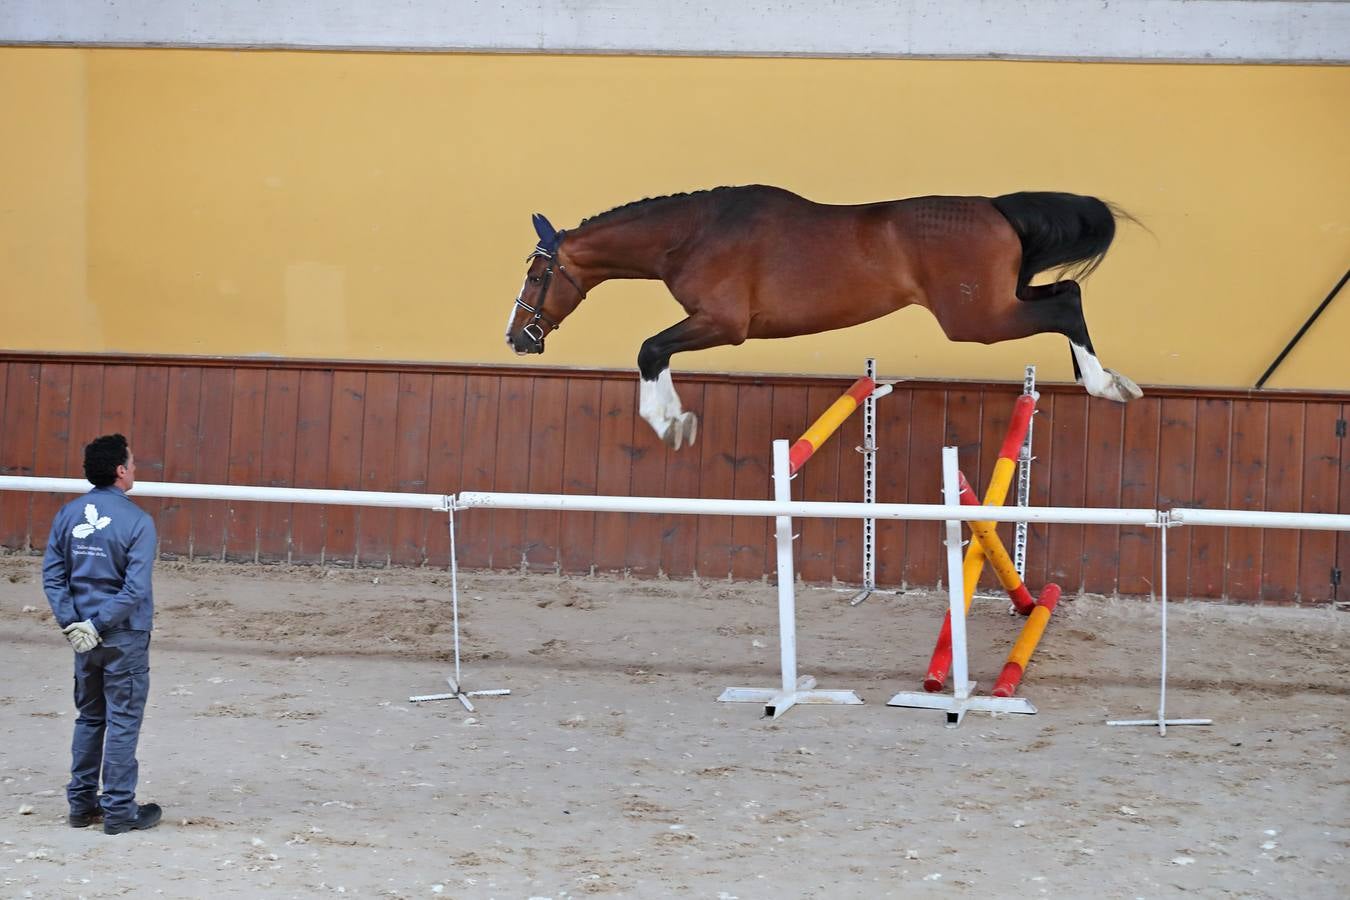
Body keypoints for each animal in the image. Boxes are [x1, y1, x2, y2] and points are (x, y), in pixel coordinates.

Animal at [507, 186, 1139, 450]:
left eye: (536, 276)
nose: (518, 338)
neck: (694, 233)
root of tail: (997, 208)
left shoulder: (723, 325)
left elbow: (649, 349)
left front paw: (670, 423)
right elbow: (653, 351)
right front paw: (672, 420)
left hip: (977, 318)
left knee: (1066, 303)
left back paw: (1105, 386)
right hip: (1000, 302)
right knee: (1065, 293)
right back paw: (1104, 380)